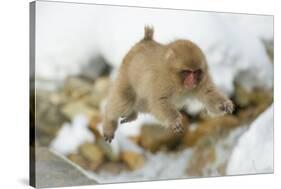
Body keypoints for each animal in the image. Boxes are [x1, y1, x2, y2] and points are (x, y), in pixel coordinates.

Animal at [101, 26, 233, 142]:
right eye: (187, 72)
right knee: (125, 101)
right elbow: (160, 101)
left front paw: (224, 104)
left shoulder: (202, 79)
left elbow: (208, 93)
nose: (192, 81)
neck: (175, 80)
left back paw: (132, 115)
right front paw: (174, 121)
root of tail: (145, 40)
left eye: (195, 72)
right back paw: (109, 122)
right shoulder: (161, 81)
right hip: (126, 76)